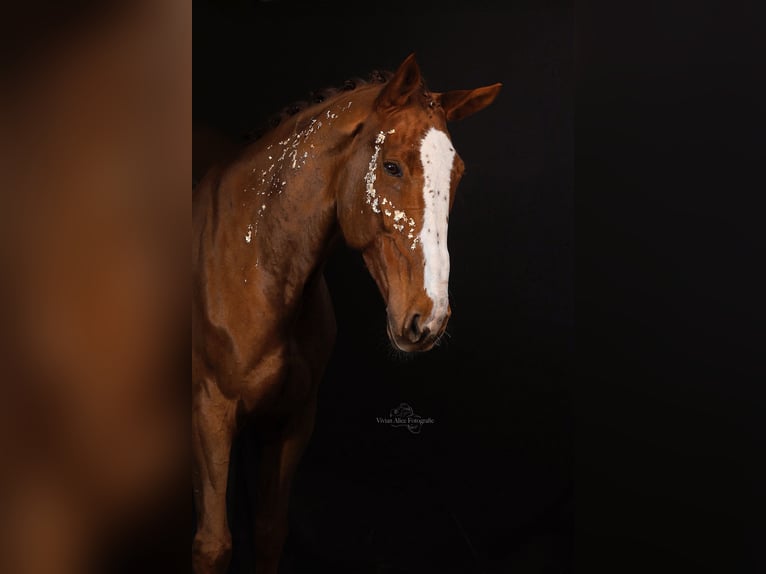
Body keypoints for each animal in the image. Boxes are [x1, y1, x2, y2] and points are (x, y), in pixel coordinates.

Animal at [192, 53, 501, 573]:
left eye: (457, 173)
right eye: (391, 166)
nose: (428, 318)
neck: (258, 264)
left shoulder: (294, 418)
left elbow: (269, 530)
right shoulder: (211, 412)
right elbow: (213, 545)